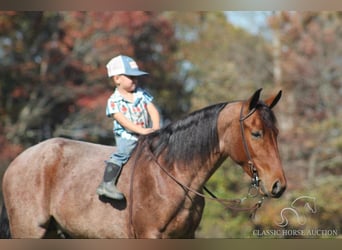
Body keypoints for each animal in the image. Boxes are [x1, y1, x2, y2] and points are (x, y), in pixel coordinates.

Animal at [0, 88, 286, 238]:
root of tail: (18, 161)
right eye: (256, 133)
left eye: (276, 133)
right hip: (29, 230)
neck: (172, 174)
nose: (278, 185)